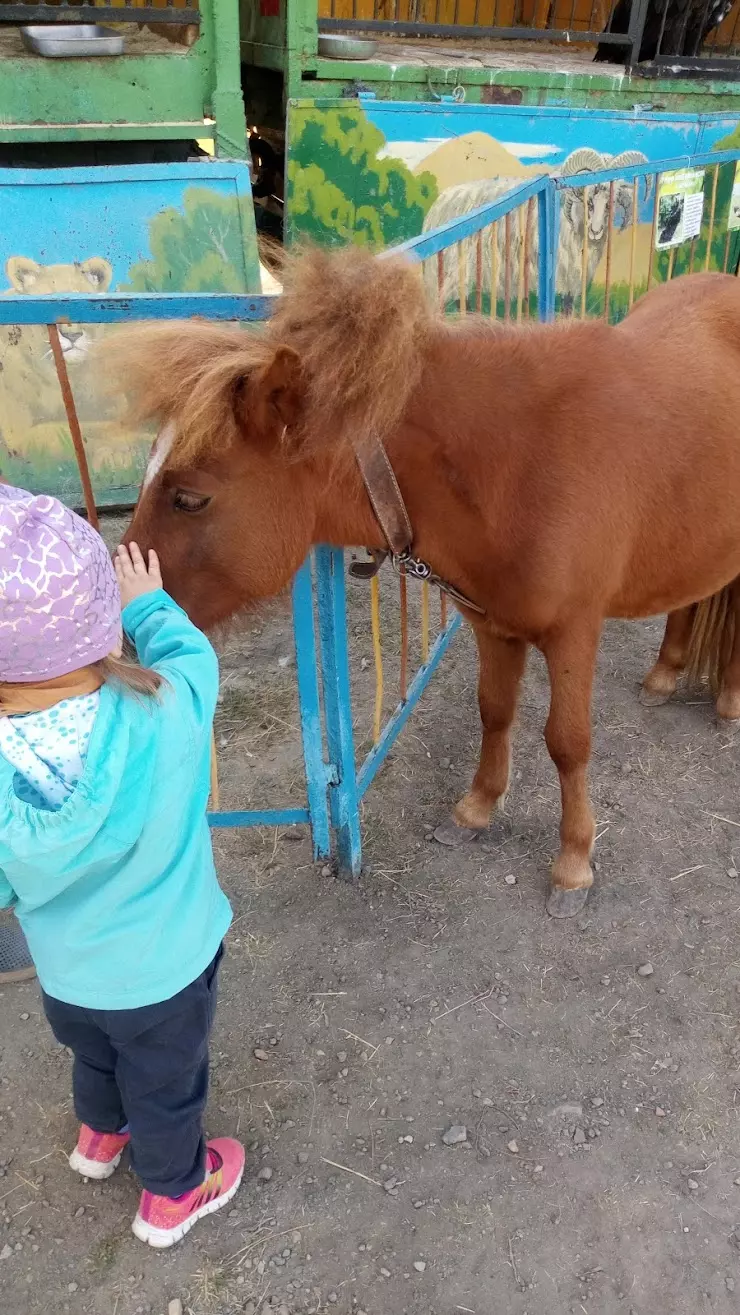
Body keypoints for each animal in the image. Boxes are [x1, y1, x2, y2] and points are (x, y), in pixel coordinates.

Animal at [116, 251, 740, 920]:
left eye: (189, 498)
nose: (120, 629)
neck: (517, 460)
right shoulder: (492, 623)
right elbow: (495, 711)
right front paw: (477, 808)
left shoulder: (574, 633)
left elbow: (567, 742)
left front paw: (574, 862)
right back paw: (667, 674)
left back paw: (728, 698)